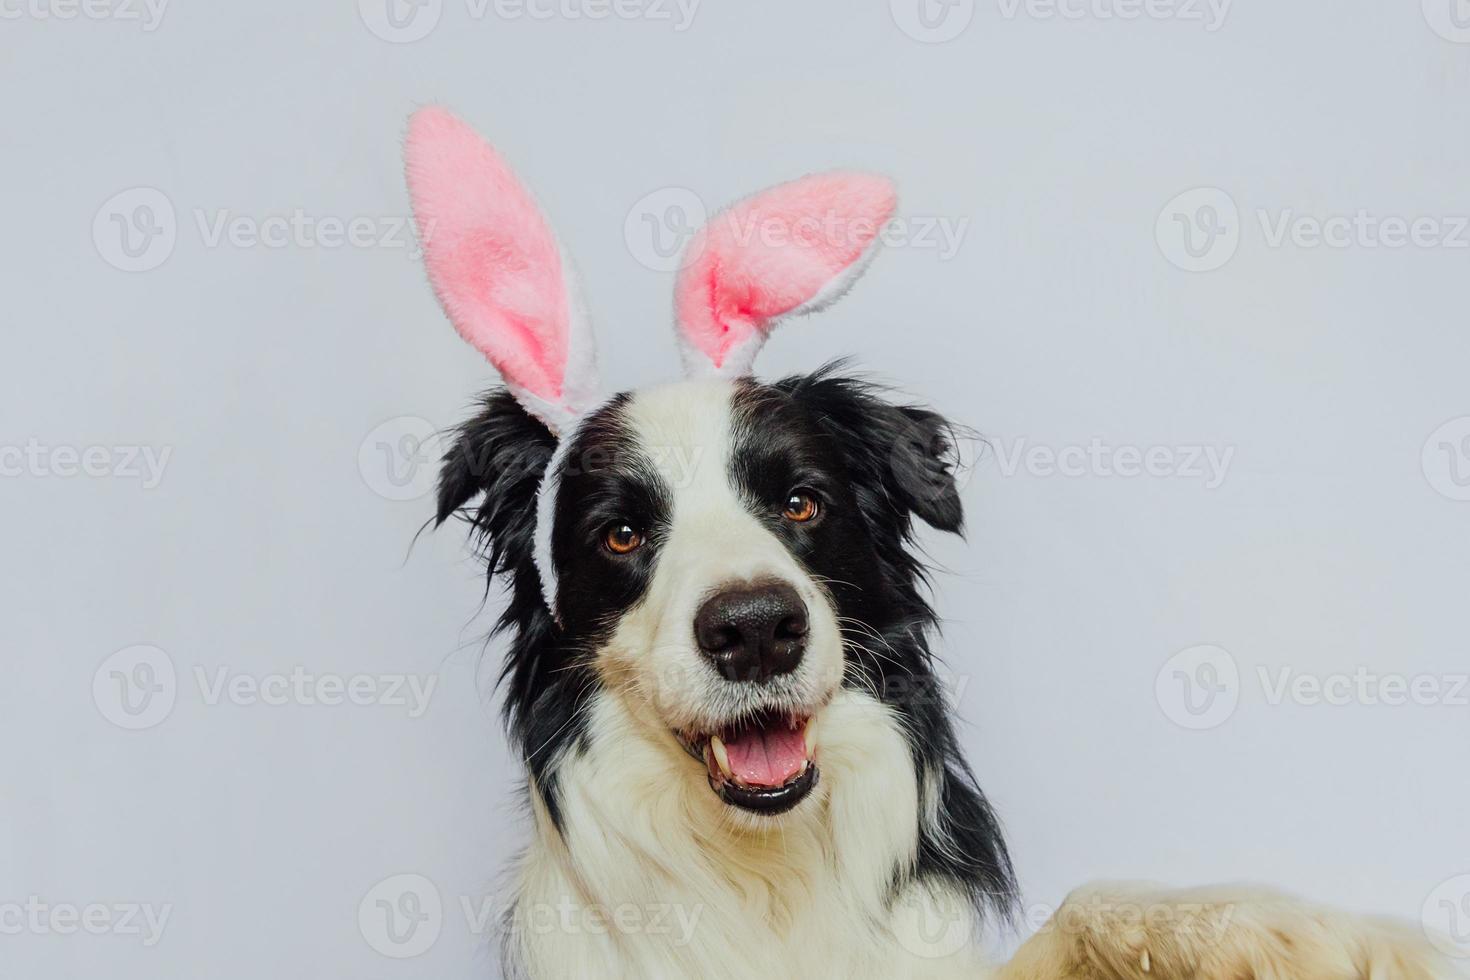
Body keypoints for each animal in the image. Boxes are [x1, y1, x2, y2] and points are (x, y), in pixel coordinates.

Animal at [405, 103, 1458, 975]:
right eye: (622, 534)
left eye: (803, 505)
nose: (756, 630)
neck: (767, 880)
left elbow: (1094, 898)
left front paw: (1324, 937)